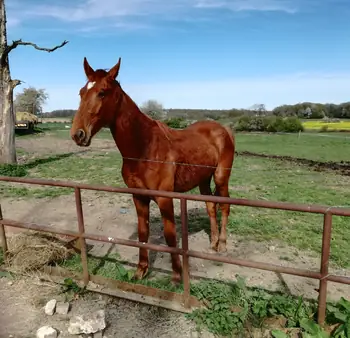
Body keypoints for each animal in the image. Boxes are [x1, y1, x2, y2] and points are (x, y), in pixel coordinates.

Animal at [71, 57, 235, 282]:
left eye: (102, 92)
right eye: (81, 92)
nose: (78, 134)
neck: (144, 148)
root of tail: (223, 129)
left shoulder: (165, 198)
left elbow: (170, 235)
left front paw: (177, 275)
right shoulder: (139, 197)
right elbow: (143, 233)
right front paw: (141, 271)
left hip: (220, 177)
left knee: (225, 207)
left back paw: (223, 245)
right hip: (203, 179)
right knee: (211, 206)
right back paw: (213, 242)